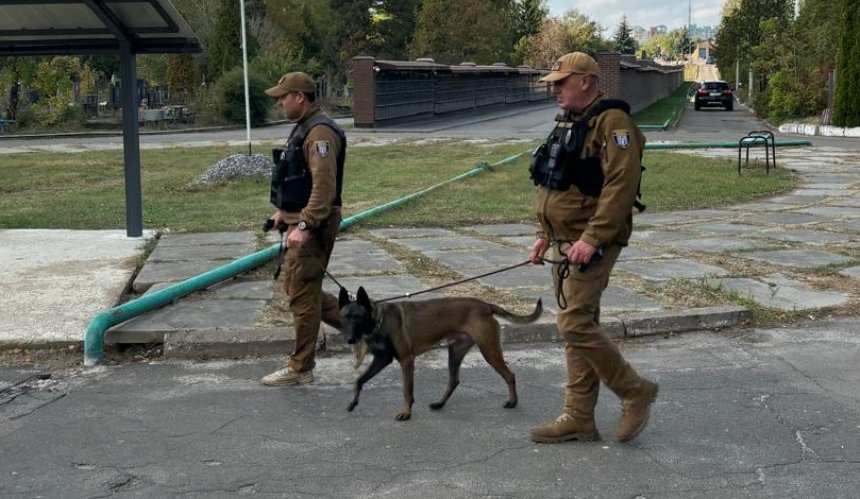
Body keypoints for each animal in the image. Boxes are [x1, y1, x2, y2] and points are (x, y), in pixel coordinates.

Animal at [340, 288, 540, 420]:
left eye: (358, 317)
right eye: (345, 317)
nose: (349, 339)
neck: (379, 321)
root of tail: (486, 306)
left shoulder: (406, 360)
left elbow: (406, 389)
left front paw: (405, 411)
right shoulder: (382, 359)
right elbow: (359, 380)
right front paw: (353, 402)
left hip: (489, 350)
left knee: (509, 375)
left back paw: (513, 402)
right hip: (455, 352)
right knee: (454, 381)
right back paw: (439, 403)